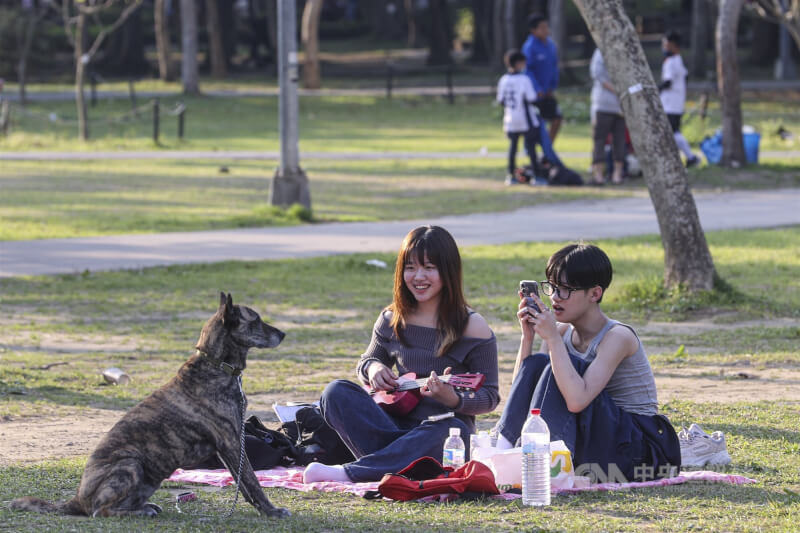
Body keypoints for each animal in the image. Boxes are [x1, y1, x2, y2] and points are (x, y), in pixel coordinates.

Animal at [10, 294, 290, 516]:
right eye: (255, 320)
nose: (283, 334)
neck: (215, 365)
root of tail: (77, 500)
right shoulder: (231, 443)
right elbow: (252, 482)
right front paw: (272, 511)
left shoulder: (229, 448)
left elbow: (243, 484)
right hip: (130, 465)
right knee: (101, 511)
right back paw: (139, 512)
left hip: (149, 477)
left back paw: (143, 507)